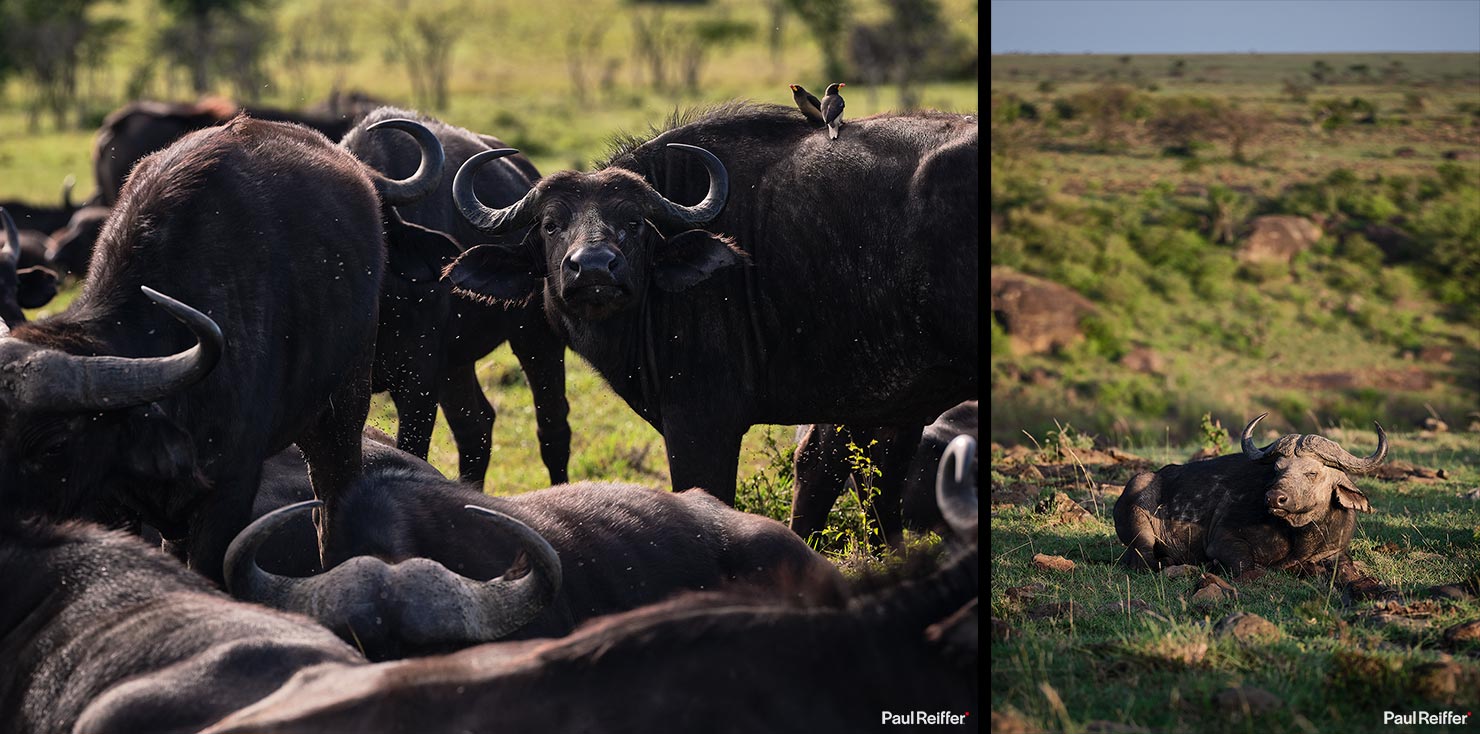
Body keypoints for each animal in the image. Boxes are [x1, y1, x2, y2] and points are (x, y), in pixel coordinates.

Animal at [339, 106, 569, 485]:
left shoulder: (418, 381)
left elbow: (412, 451)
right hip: (456, 363)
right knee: (476, 427)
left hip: (536, 336)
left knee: (552, 426)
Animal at [1115, 413, 1386, 575]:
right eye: (1277, 469)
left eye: (1312, 472)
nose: (1275, 498)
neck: (1299, 534)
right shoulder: (1223, 539)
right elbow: (1246, 564)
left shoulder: (1334, 552)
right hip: (1139, 525)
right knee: (1144, 558)